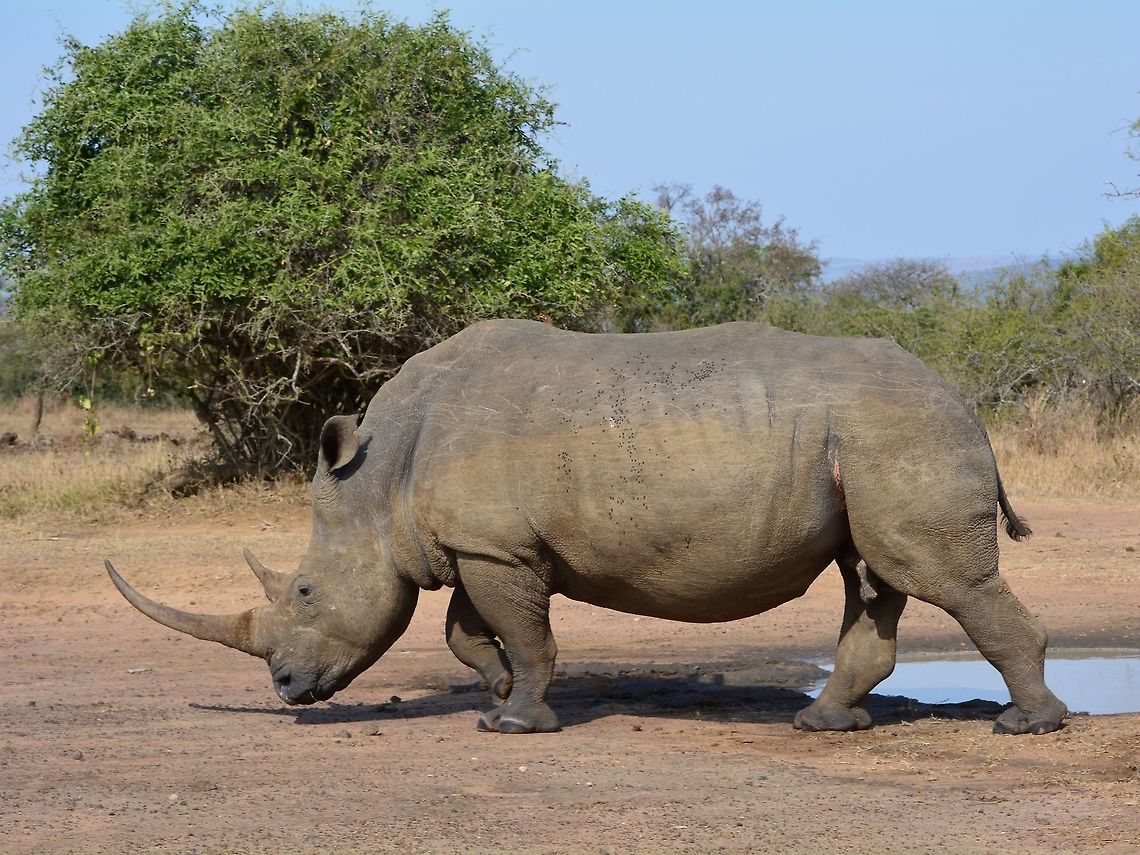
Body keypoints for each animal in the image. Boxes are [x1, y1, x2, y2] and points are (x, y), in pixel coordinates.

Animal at [107, 319, 1067, 735]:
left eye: (304, 590)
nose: (284, 689)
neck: (379, 479)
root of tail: (964, 400)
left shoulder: (497, 547)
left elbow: (526, 635)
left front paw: (514, 723)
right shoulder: (484, 543)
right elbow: (466, 631)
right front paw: (495, 691)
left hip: (900, 431)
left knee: (942, 578)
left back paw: (1029, 726)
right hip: (872, 440)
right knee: (871, 578)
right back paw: (824, 725)